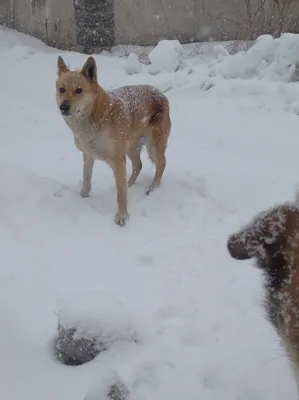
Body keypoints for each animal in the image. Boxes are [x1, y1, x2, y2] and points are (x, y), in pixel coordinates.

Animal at [55, 55, 171, 225]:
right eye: (62, 90)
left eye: (79, 90)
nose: (63, 107)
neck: (93, 119)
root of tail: (161, 94)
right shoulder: (88, 155)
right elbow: (86, 177)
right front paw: (83, 196)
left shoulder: (118, 160)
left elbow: (120, 194)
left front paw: (122, 217)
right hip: (131, 147)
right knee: (138, 165)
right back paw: (130, 183)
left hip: (154, 146)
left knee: (161, 164)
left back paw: (152, 188)